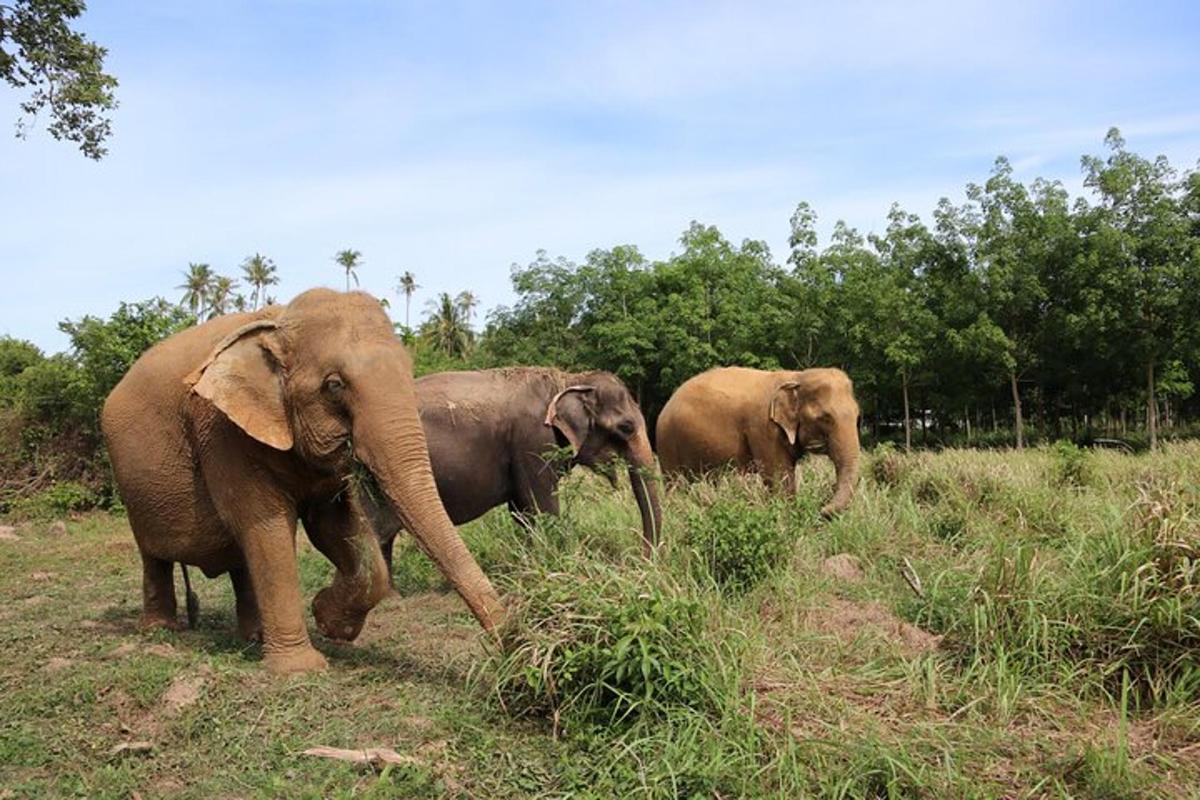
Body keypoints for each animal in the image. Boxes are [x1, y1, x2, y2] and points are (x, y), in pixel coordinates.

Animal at [97, 289, 501, 676]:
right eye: (334, 385)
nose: (508, 654)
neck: (279, 321)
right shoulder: (222, 430)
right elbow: (268, 526)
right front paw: (300, 669)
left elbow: (334, 527)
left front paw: (328, 620)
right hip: (134, 488)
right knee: (155, 556)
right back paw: (161, 632)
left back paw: (254, 637)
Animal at [362, 369, 667, 563]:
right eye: (626, 427)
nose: (640, 562)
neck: (568, 379)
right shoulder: (533, 441)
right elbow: (543, 507)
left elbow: (522, 513)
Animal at [657, 367, 864, 515]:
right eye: (825, 418)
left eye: (857, 416)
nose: (822, 510)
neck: (796, 376)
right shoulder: (763, 429)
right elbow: (778, 479)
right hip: (667, 443)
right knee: (676, 485)